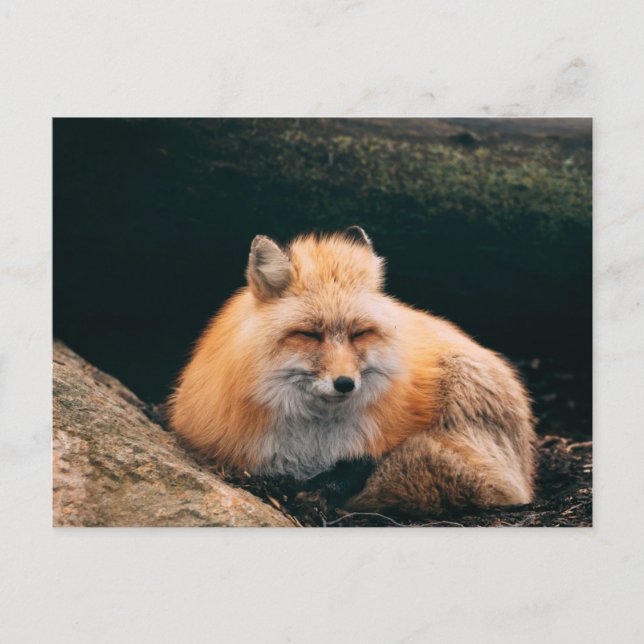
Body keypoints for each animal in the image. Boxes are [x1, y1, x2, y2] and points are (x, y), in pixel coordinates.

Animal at [169, 226, 536, 517]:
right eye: (309, 334)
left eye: (359, 333)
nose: (345, 383)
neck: (313, 442)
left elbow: (355, 468)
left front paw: (324, 490)